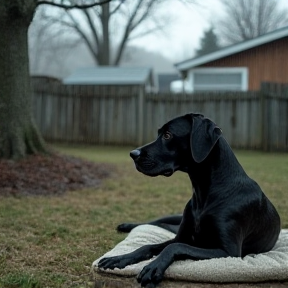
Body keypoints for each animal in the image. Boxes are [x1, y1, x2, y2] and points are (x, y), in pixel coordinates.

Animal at [98, 113, 280, 286]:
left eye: (168, 135)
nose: (133, 154)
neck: (204, 193)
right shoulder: (181, 236)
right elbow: (147, 246)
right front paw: (118, 258)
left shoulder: (228, 252)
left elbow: (175, 246)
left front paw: (153, 268)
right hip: (175, 217)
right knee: (154, 222)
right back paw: (126, 226)